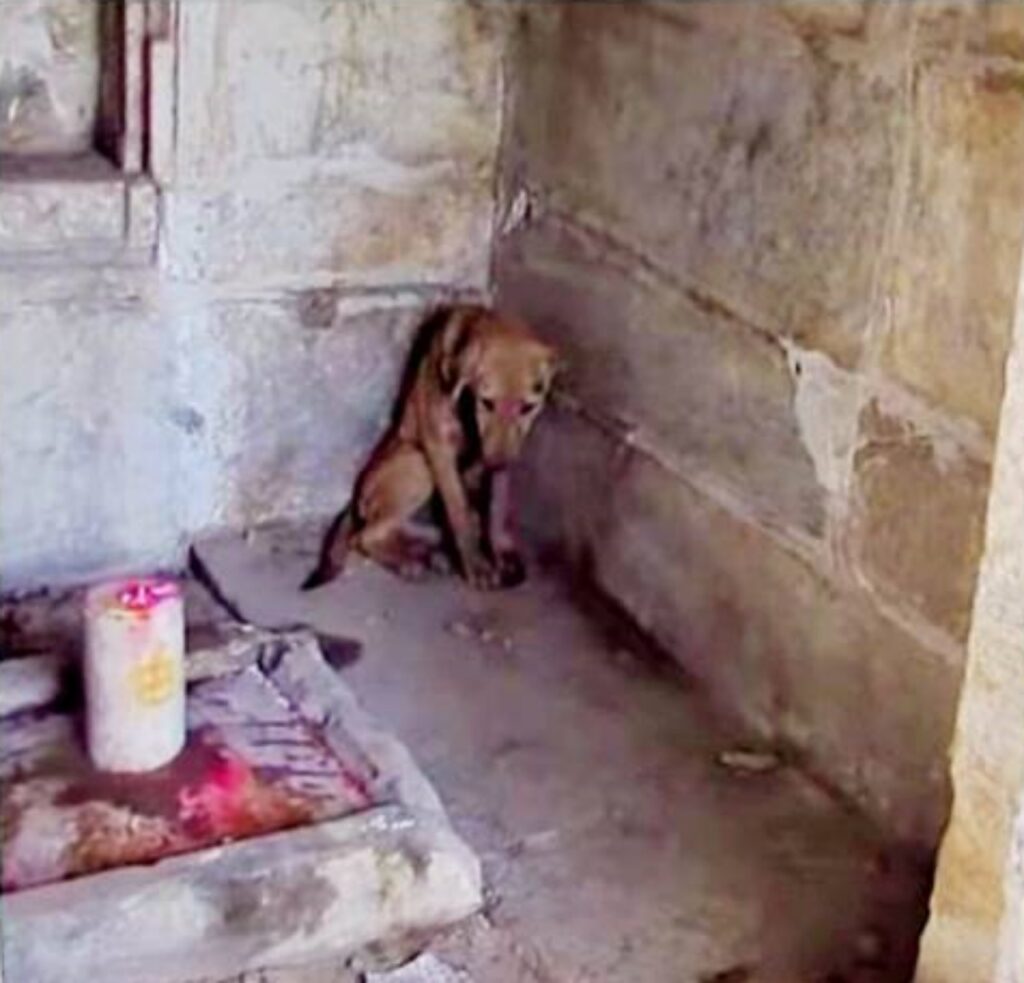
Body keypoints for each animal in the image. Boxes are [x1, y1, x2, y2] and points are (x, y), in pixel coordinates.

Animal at [301, 303, 557, 589]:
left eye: (528, 407)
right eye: (487, 402)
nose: (497, 462)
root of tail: (356, 499)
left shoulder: (502, 456)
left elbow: (497, 509)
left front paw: (500, 551)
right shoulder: (439, 447)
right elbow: (458, 512)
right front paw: (476, 565)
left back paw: (426, 553)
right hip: (418, 465)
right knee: (365, 537)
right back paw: (406, 562)